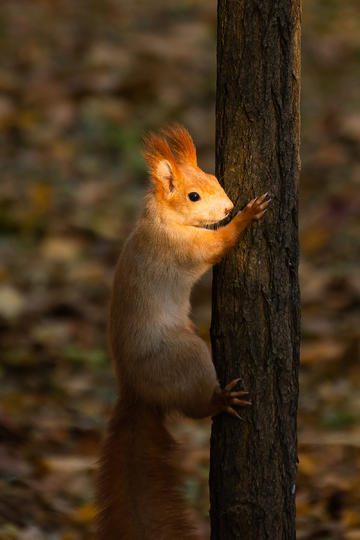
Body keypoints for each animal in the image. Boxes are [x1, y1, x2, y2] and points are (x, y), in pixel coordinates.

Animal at [95, 126, 270, 540]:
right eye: (193, 196)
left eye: (213, 178)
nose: (227, 207)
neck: (161, 221)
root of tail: (134, 388)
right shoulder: (181, 250)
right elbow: (217, 246)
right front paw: (246, 216)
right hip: (183, 356)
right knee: (196, 407)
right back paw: (222, 400)